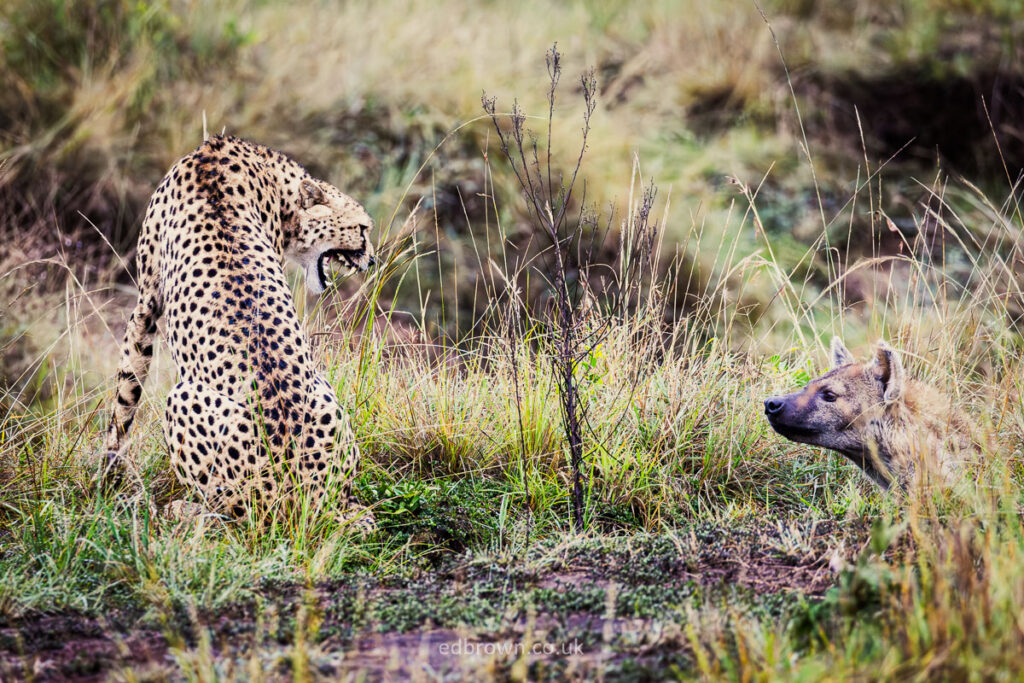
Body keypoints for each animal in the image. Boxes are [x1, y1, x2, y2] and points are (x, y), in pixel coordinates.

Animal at [102, 134, 376, 530]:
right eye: (362, 229)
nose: (372, 259)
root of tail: (302, 502)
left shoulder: (146, 304)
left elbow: (125, 399)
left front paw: (107, 480)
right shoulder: (147, 304)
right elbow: (125, 397)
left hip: (183, 401)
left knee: (229, 520)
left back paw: (181, 510)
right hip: (326, 395)